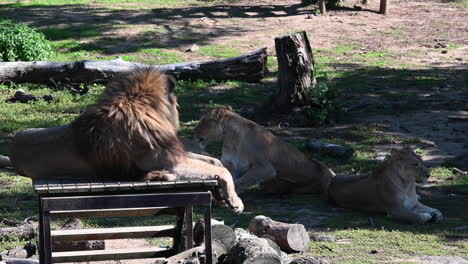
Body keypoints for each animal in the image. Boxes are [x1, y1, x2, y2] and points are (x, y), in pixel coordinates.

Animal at [3, 68, 243, 212]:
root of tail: (12, 150)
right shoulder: (170, 161)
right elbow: (222, 169)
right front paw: (235, 201)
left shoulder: (175, 154)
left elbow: (213, 161)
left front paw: (221, 195)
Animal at [192, 106, 334, 195]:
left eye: (203, 121)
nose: (193, 131)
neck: (230, 140)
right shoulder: (232, 165)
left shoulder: (265, 168)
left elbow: (240, 182)